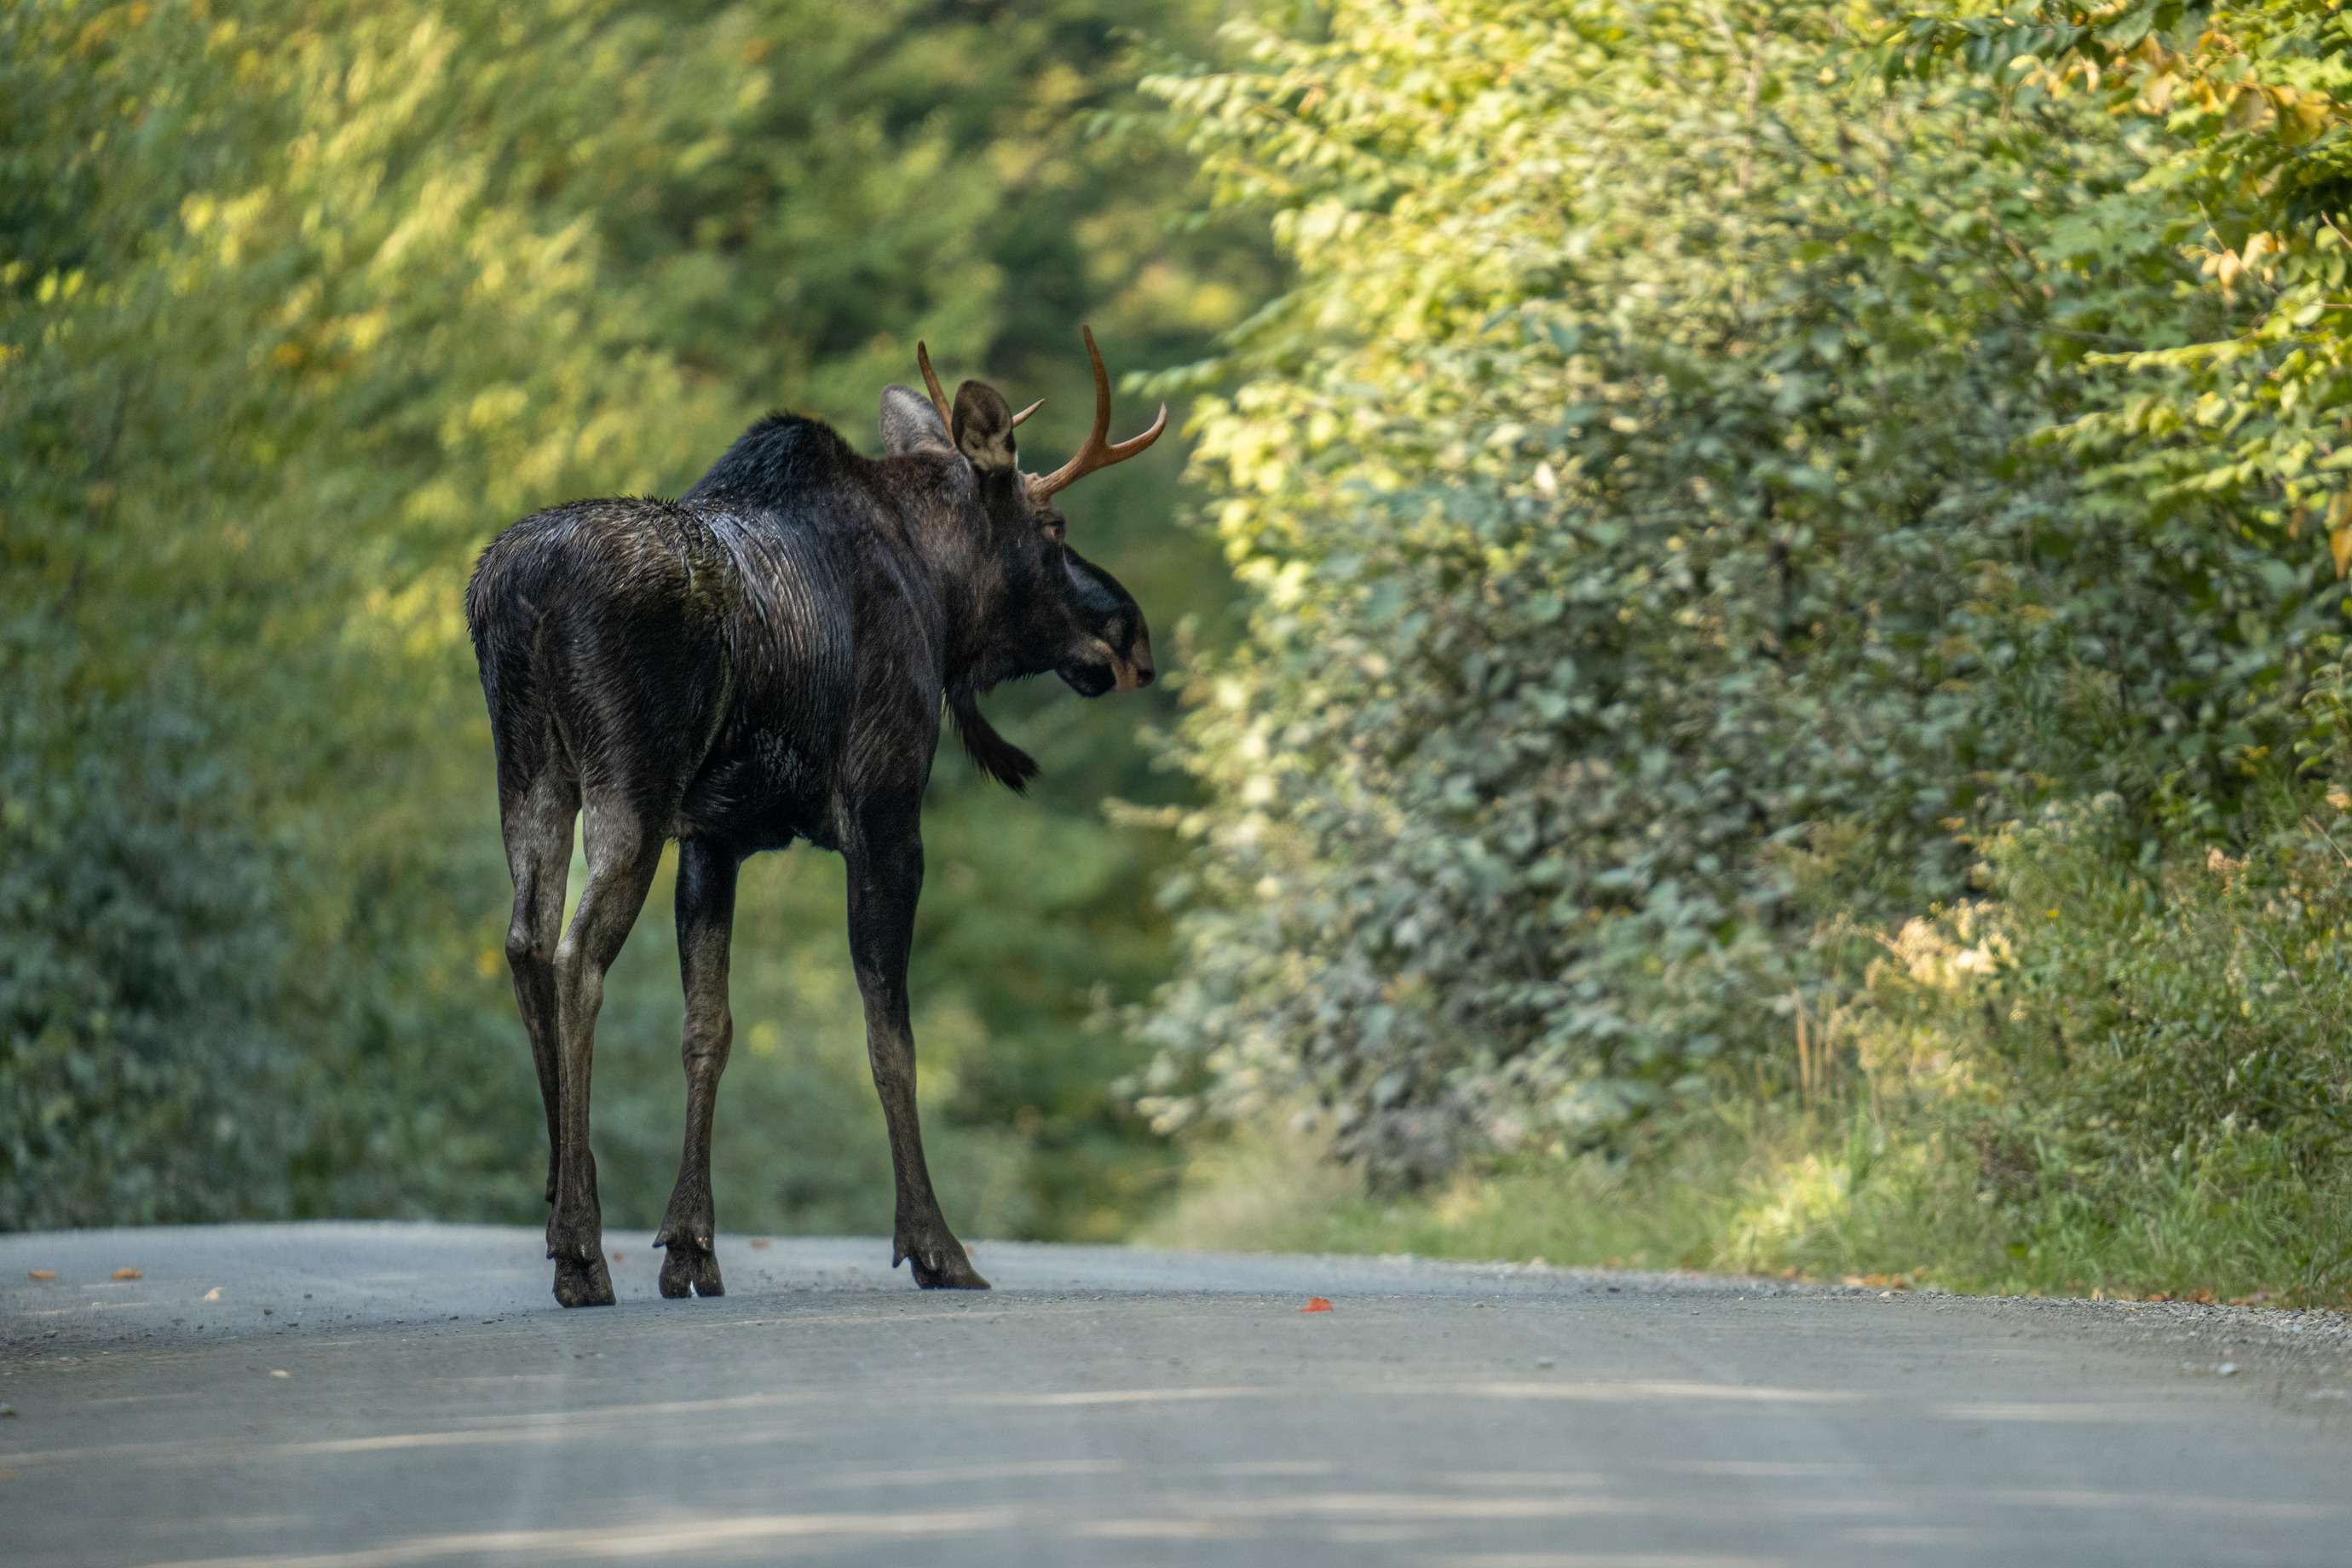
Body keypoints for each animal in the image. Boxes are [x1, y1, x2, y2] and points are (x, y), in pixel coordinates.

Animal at [465, 328, 1163, 1306]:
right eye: (1053, 528)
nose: (1132, 635)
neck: (939, 599)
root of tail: (515, 590)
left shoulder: (713, 837)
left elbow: (708, 1030)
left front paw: (691, 1245)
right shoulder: (883, 813)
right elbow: (889, 1037)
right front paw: (935, 1246)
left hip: (528, 769)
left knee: (525, 943)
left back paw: (563, 1204)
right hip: (627, 781)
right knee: (576, 959)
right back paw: (579, 1245)